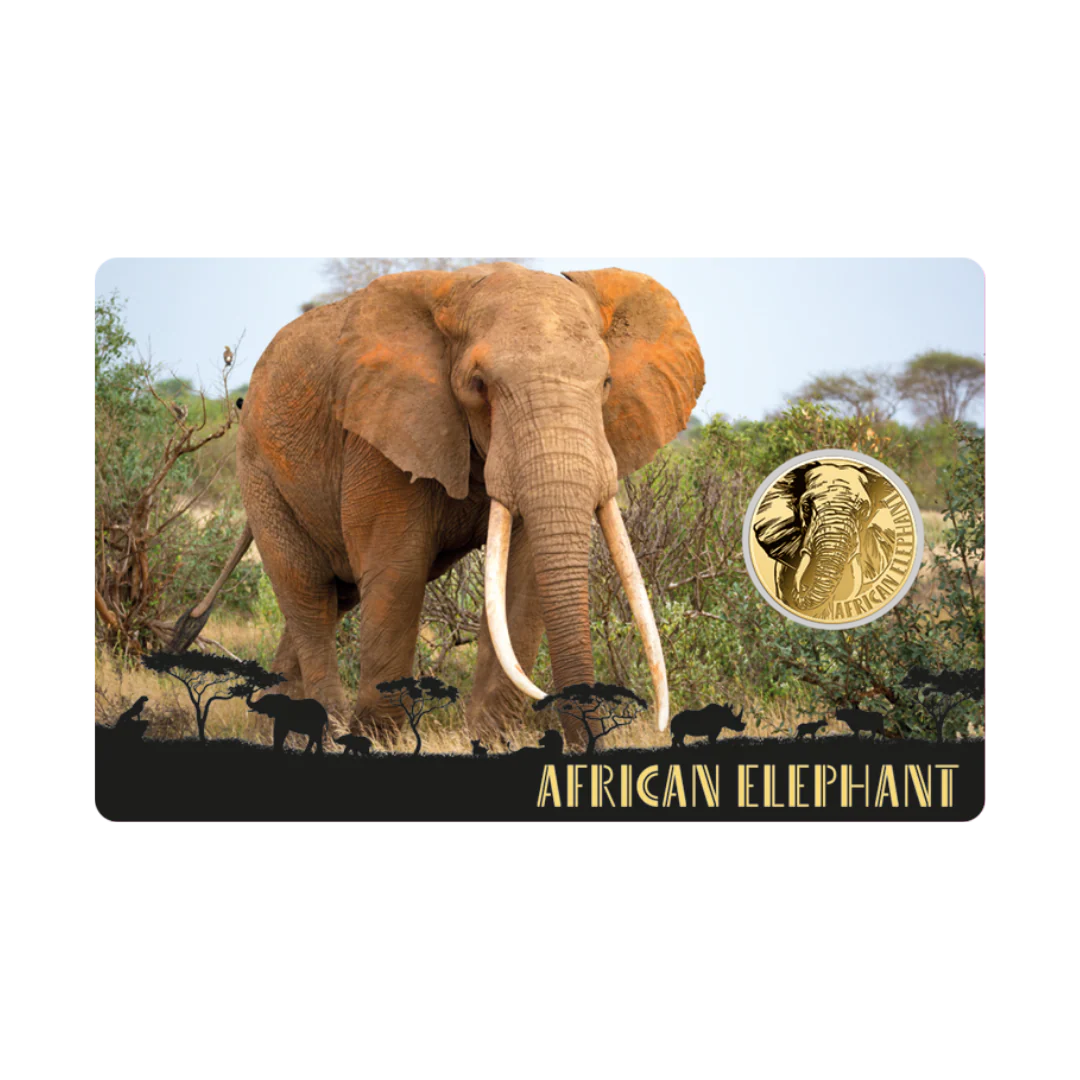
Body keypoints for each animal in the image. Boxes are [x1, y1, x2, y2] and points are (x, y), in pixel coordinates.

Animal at [176, 263, 704, 750]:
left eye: (607, 382)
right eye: (478, 384)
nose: (585, 744)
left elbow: (523, 579)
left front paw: (491, 741)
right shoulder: (382, 432)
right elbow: (398, 570)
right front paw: (379, 740)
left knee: (333, 598)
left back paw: (271, 724)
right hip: (260, 473)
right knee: (306, 592)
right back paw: (329, 732)